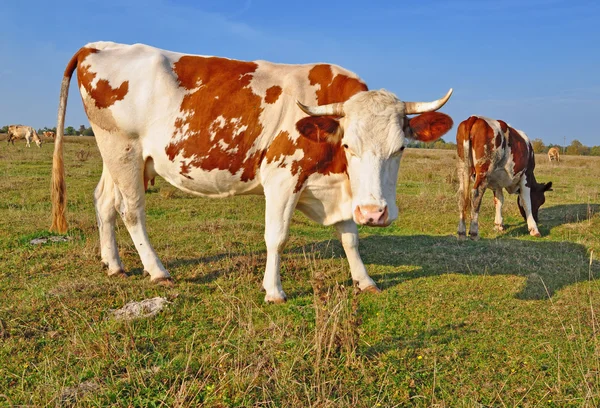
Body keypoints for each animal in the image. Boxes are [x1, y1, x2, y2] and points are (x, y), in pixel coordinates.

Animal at [52, 41, 454, 302]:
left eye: (400, 148)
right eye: (348, 146)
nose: (375, 213)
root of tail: (97, 46)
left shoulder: (340, 189)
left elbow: (350, 237)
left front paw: (365, 280)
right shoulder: (282, 177)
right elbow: (276, 236)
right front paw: (273, 291)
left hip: (118, 154)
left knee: (104, 201)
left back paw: (114, 264)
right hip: (122, 148)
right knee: (131, 210)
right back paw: (158, 271)